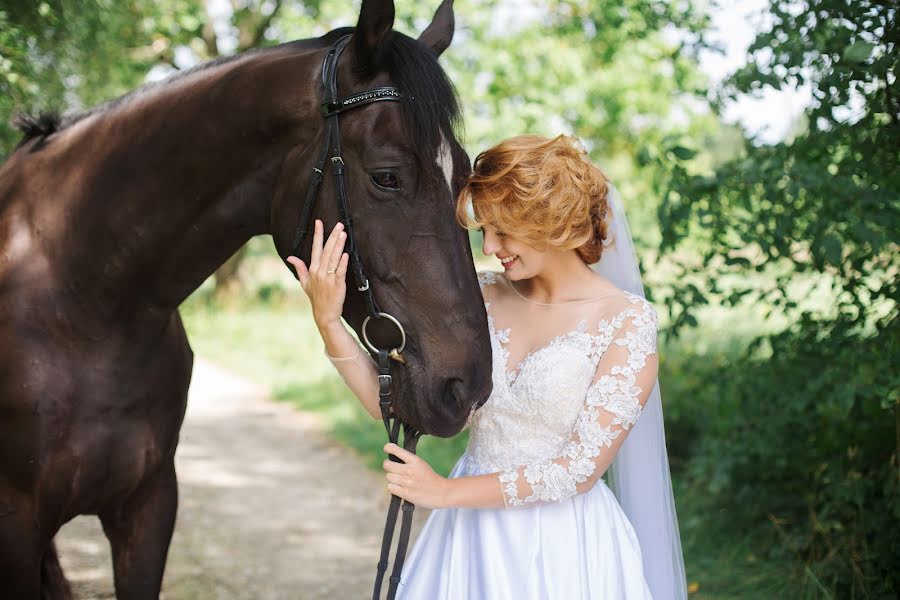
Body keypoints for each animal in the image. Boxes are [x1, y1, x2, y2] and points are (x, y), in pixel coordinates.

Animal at [0, 2, 492, 596]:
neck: (86, 304)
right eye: (387, 177)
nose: (468, 385)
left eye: (464, 174)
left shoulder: (149, 508)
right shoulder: (17, 526)